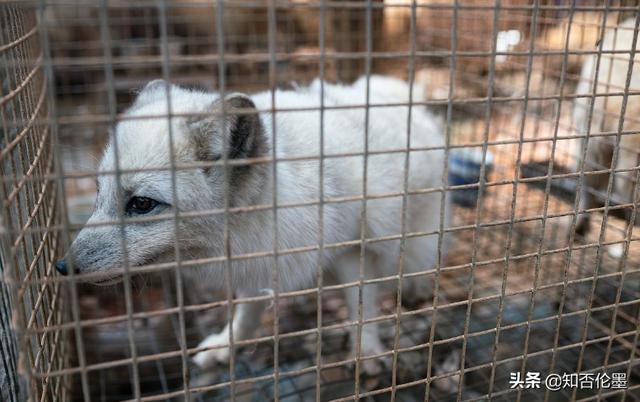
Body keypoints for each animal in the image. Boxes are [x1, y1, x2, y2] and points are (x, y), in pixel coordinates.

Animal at [56, 75, 450, 374]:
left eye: (141, 204)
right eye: (98, 192)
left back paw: (414, 287)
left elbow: (361, 308)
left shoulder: (353, 248)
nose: (62, 267)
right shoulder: (257, 260)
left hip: (417, 235)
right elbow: (246, 314)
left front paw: (365, 351)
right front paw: (226, 345)